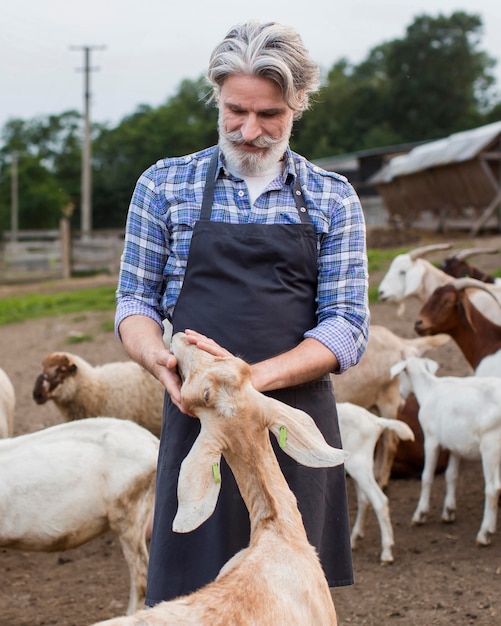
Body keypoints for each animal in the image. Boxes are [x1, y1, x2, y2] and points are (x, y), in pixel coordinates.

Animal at [338, 402, 412, 564]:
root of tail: (375, 421)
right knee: (364, 499)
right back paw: (354, 539)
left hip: (358, 464)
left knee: (379, 501)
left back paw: (386, 552)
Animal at [390, 356, 500, 544]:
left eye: (402, 375)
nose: (402, 394)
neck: (429, 389)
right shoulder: (455, 446)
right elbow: (451, 476)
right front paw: (449, 512)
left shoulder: (431, 440)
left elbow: (427, 476)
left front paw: (420, 514)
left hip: (490, 447)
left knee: (493, 488)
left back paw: (484, 533)